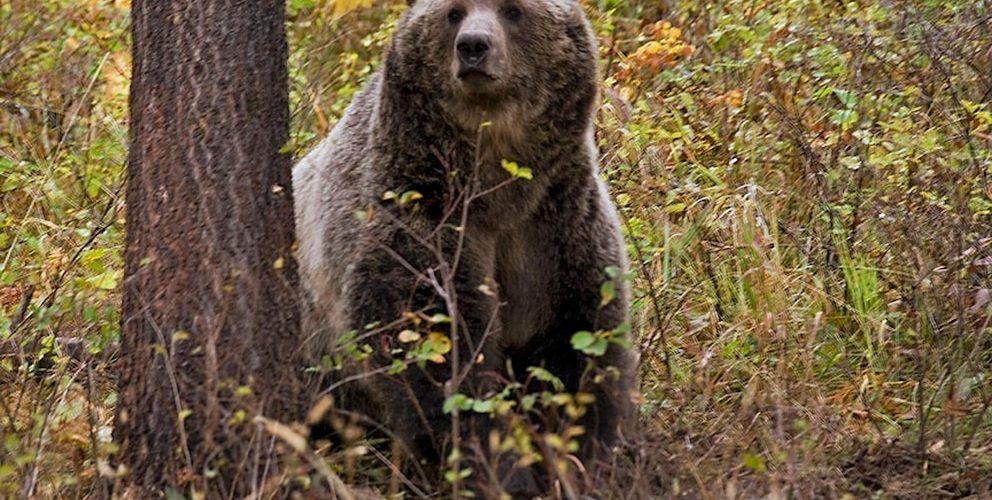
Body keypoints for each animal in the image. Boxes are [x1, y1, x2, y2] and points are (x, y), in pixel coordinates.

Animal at [294, 0, 636, 492]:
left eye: (513, 11)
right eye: (454, 13)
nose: (473, 46)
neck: (497, 185)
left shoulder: (554, 224)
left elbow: (577, 341)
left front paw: (577, 455)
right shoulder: (421, 213)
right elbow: (437, 348)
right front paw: (498, 468)